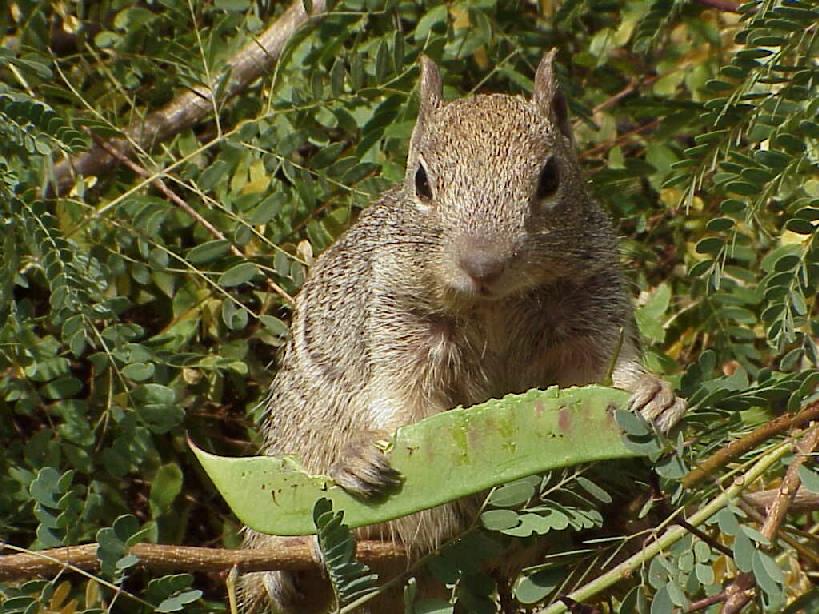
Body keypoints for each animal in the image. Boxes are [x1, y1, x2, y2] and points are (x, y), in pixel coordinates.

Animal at [238, 50, 687, 612]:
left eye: (551, 178)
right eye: (421, 181)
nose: (483, 264)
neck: (493, 306)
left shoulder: (592, 304)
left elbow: (604, 367)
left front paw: (655, 395)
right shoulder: (400, 324)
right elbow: (402, 404)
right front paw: (363, 460)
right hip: (300, 437)